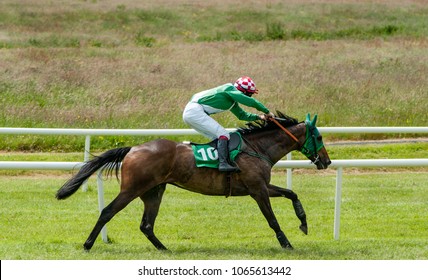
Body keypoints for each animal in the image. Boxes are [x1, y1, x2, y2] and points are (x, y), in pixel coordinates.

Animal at [56, 112, 332, 250]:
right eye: (319, 137)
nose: (327, 161)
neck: (256, 148)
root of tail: (133, 148)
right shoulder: (257, 190)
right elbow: (272, 219)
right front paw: (286, 243)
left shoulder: (261, 186)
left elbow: (291, 193)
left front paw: (303, 224)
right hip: (133, 188)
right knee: (107, 211)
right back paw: (88, 244)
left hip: (154, 191)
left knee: (146, 224)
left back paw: (164, 249)